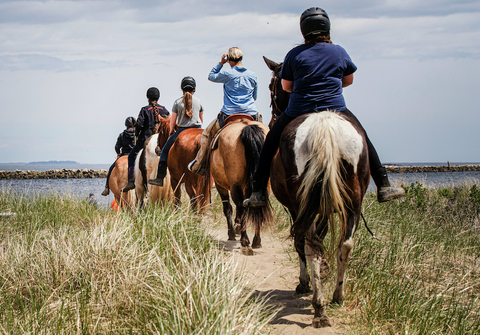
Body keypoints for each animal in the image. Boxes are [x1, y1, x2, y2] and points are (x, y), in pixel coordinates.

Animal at [202, 117, 274, 256]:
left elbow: (228, 209)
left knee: (240, 207)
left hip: (235, 185)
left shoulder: (220, 186)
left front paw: (232, 232)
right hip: (264, 184)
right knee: (257, 205)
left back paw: (245, 241)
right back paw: (256, 241)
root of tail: (247, 126)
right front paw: (237, 227)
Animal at [262, 57, 372, 328]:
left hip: (306, 203)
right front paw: (320, 272)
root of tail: (324, 127)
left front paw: (306, 281)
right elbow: (320, 238)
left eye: (271, 85)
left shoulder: (297, 208)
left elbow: (301, 241)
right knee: (345, 244)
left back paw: (319, 306)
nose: (272, 118)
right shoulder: (323, 207)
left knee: (310, 244)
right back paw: (335, 297)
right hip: (353, 201)